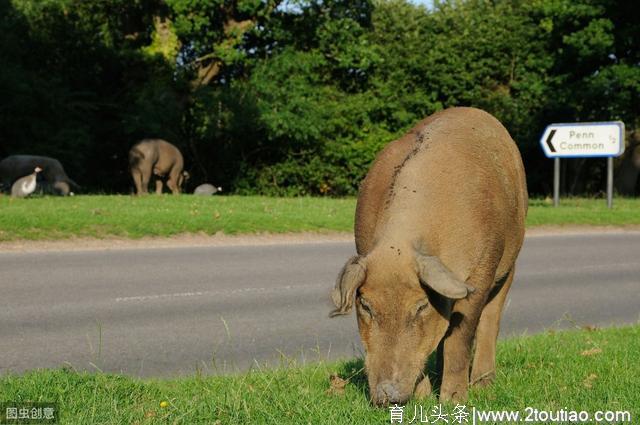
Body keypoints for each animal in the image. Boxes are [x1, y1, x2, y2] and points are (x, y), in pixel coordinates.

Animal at [330, 106, 524, 404]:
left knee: (491, 319)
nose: (387, 395)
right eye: (365, 305)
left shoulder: (480, 271)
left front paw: (453, 401)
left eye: (421, 306)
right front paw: (422, 400)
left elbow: (461, 336)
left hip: (510, 261)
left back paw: (483, 386)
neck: (401, 244)